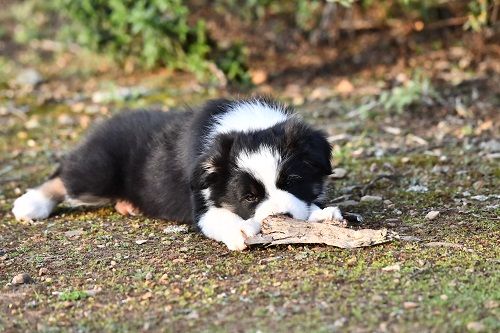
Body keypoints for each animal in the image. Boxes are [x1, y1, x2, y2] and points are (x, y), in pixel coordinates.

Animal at [14, 98, 344, 249]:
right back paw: (30, 203)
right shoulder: (200, 203)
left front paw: (323, 215)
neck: (248, 125)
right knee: (64, 175)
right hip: (98, 170)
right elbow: (219, 217)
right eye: (249, 197)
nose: (282, 218)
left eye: (292, 182)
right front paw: (239, 230)